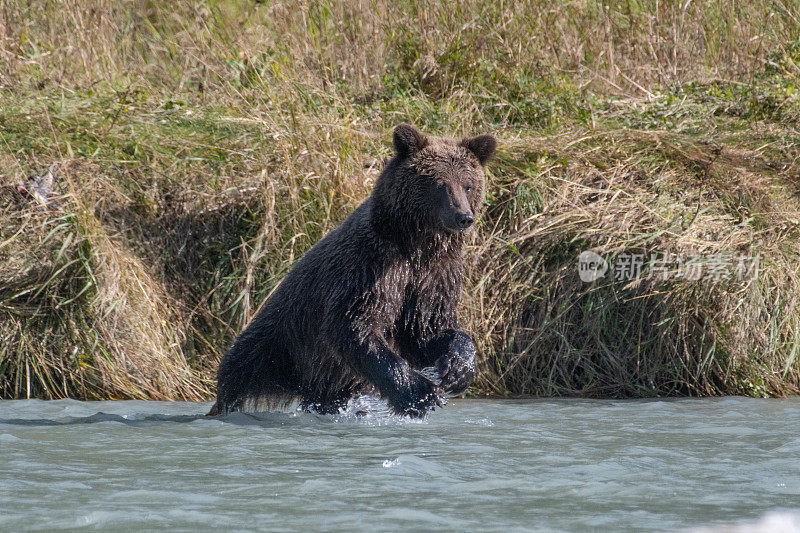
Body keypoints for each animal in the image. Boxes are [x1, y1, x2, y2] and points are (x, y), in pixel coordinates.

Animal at [209, 123, 494, 416]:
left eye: (468, 185)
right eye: (440, 184)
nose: (464, 217)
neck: (416, 244)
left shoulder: (435, 274)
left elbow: (425, 330)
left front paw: (459, 368)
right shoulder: (369, 265)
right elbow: (353, 324)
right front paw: (419, 392)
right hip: (276, 349)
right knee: (241, 372)